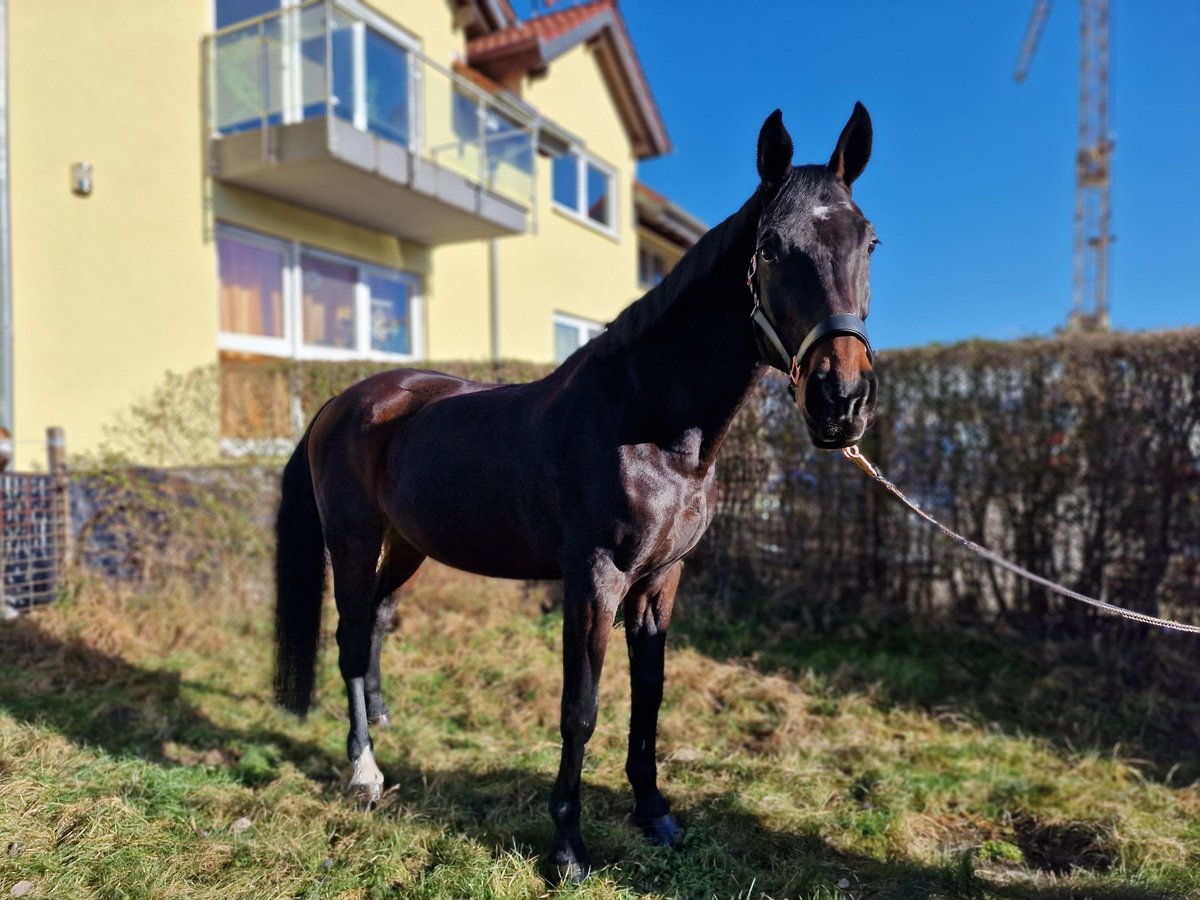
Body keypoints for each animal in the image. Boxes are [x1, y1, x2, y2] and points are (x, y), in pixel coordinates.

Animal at [278, 103, 883, 883]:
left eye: (869, 241)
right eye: (773, 248)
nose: (842, 400)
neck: (651, 426)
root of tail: (341, 401)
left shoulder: (661, 581)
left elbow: (649, 698)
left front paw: (654, 813)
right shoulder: (594, 580)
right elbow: (582, 707)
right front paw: (567, 846)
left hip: (407, 543)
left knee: (378, 619)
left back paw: (383, 720)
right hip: (351, 540)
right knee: (351, 638)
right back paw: (364, 772)